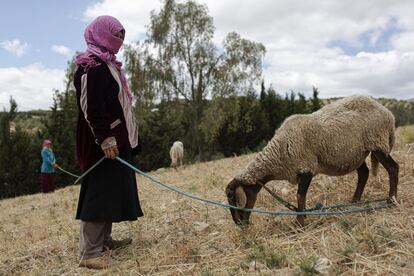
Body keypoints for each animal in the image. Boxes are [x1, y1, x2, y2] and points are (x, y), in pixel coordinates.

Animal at [225, 96, 400, 225]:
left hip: (377, 141)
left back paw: (391, 200)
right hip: (356, 153)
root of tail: (388, 113)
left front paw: (299, 222)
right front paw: (301, 219)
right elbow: (300, 196)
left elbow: (300, 196)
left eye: (232, 197)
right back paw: (354, 201)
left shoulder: (306, 168)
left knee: (393, 168)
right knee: (364, 173)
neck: (278, 155)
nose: (238, 224)